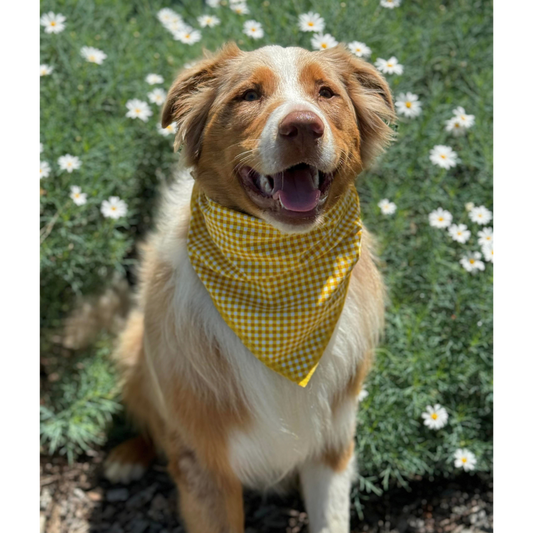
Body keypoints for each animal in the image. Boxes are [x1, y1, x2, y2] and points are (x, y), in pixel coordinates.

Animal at [105, 42, 394, 532]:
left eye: (326, 92)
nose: (303, 126)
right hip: (133, 348)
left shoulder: (332, 445)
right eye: (248, 95)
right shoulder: (205, 463)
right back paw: (127, 456)